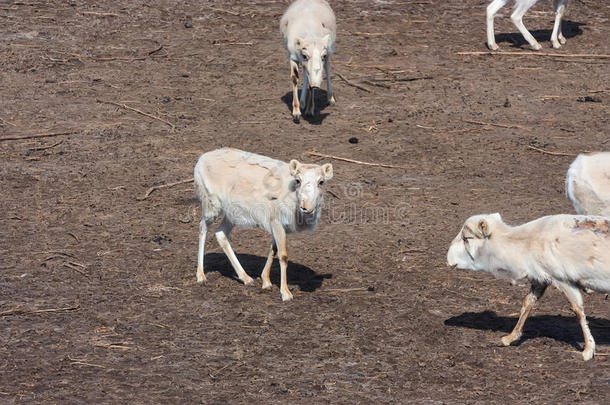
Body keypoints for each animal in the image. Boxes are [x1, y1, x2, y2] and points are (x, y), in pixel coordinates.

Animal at [194, 148, 332, 300]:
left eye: (321, 182)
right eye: (298, 180)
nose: (306, 207)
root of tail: (201, 159)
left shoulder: (278, 225)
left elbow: (273, 249)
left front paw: (266, 282)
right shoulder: (276, 221)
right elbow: (283, 255)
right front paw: (286, 293)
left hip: (232, 214)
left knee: (221, 233)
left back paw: (246, 278)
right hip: (211, 204)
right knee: (202, 227)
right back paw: (201, 276)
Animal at [446, 213, 608, 358]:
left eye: (466, 238)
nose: (448, 259)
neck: (523, 244)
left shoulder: (563, 279)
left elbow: (578, 311)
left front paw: (588, 350)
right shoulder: (541, 278)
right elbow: (527, 303)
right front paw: (510, 338)